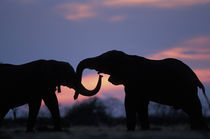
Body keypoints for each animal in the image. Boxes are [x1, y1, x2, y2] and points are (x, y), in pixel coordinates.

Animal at [76, 50, 210, 131]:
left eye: (105, 60)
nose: (100, 76)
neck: (127, 57)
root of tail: (196, 77)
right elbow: (141, 106)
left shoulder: (134, 82)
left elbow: (130, 104)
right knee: (192, 112)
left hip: (187, 90)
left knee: (194, 109)